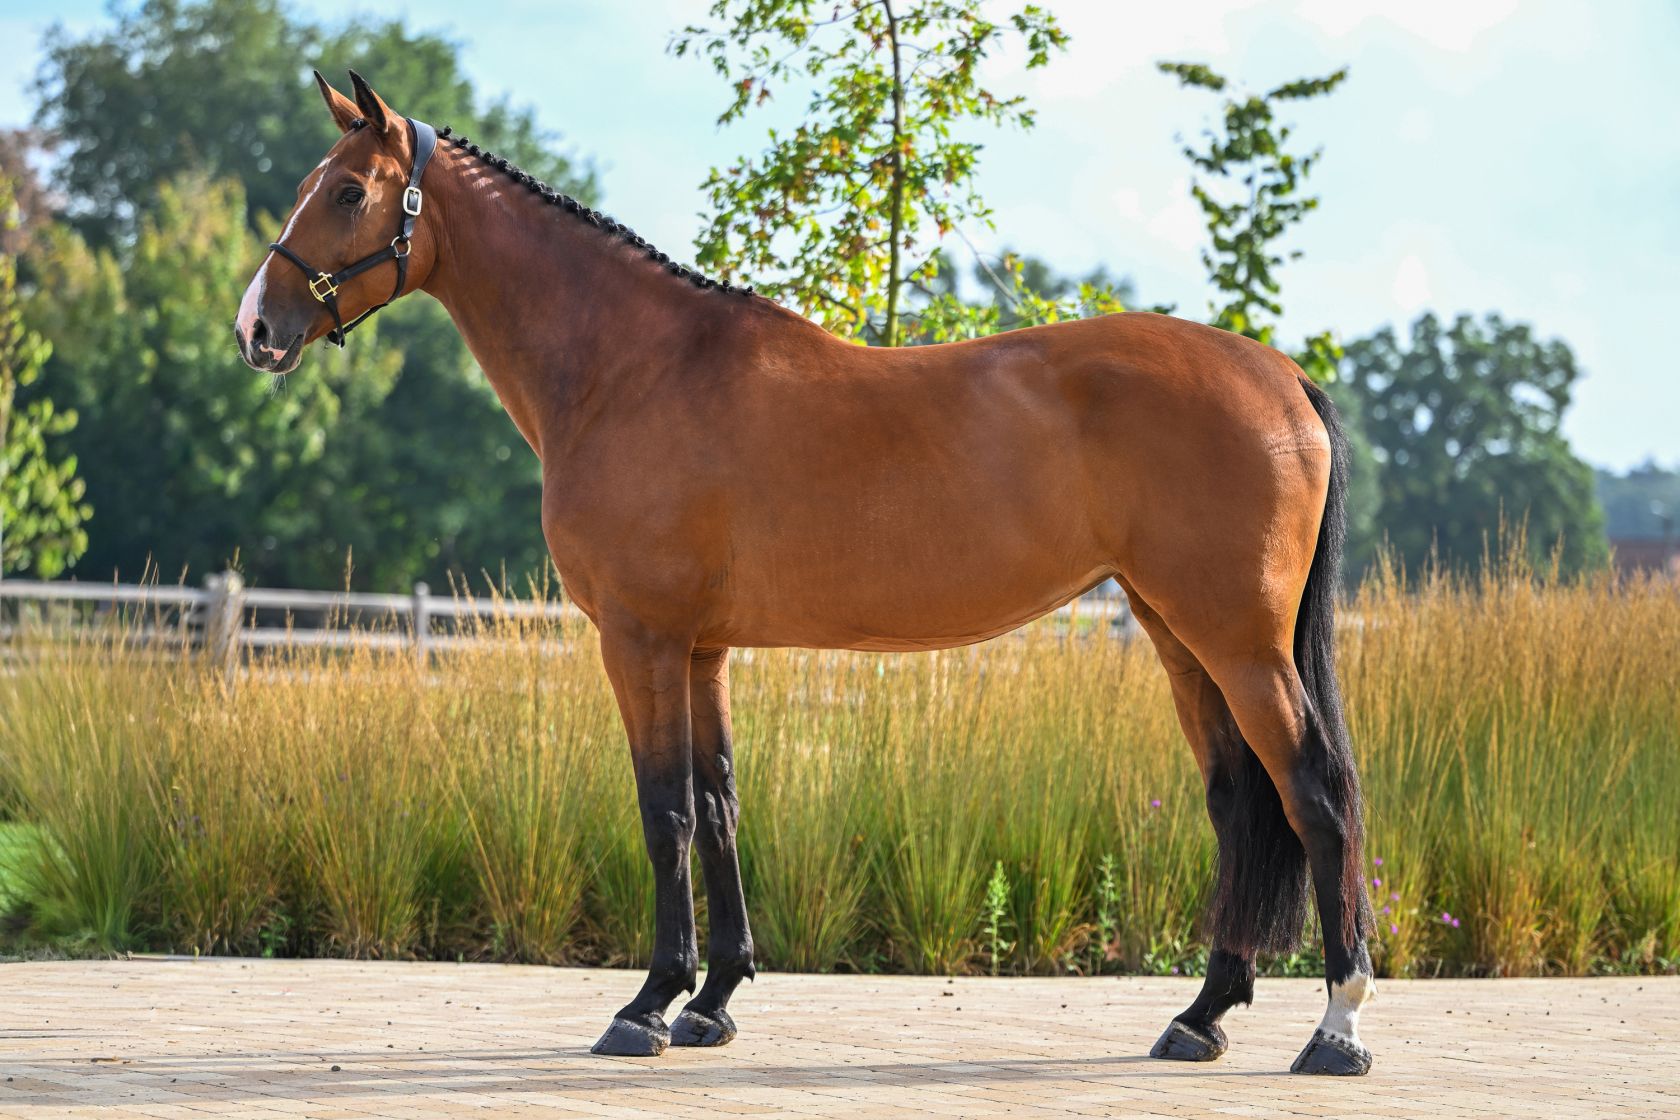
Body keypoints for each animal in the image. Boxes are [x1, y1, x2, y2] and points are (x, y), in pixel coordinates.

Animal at [236, 71, 1377, 1075]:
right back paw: (1202, 1015)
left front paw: (647, 1005)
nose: (257, 327)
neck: (631, 369)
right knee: (1237, 803)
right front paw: (713, 1002)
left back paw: (1336, 1028)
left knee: (1315, 792)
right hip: (1180, 633)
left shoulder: (641, 639)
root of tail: (1281, 374)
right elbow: (720, 804)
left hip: (1237, 640)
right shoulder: (702, 650)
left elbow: (664, 811)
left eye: (348, 191)